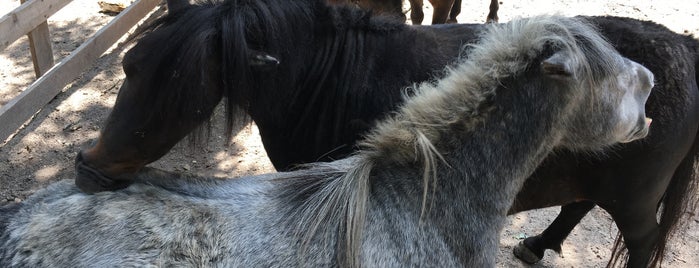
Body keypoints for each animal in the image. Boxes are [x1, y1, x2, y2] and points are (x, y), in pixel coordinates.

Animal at [72, 0, 699, 266]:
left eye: (178, 88)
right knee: (576, 204)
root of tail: (685, 49)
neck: (331, 78)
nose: (87, 168)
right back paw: (537, 244)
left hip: (635, 201)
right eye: (129, 65)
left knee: (641, 241)